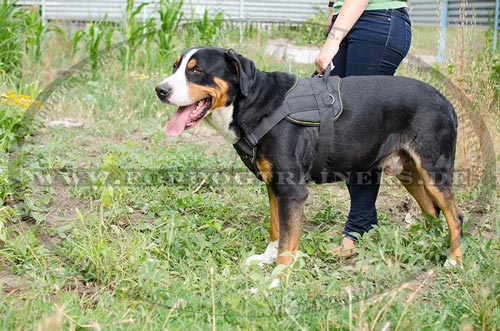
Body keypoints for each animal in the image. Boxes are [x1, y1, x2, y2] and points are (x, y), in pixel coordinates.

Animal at [154, 46, 462, 268]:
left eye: (197, 71)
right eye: (175, 67)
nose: (160, 90)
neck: (257, 106)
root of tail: (446, 101)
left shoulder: (292, 190)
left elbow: (287, 241)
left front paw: (276, 279)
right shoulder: (274, 185)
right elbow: (277, 230)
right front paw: (267, 259)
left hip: (433, 169)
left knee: (455, 215)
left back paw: (453, 260)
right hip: (408, 172)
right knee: (432, 211)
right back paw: (426, 243)